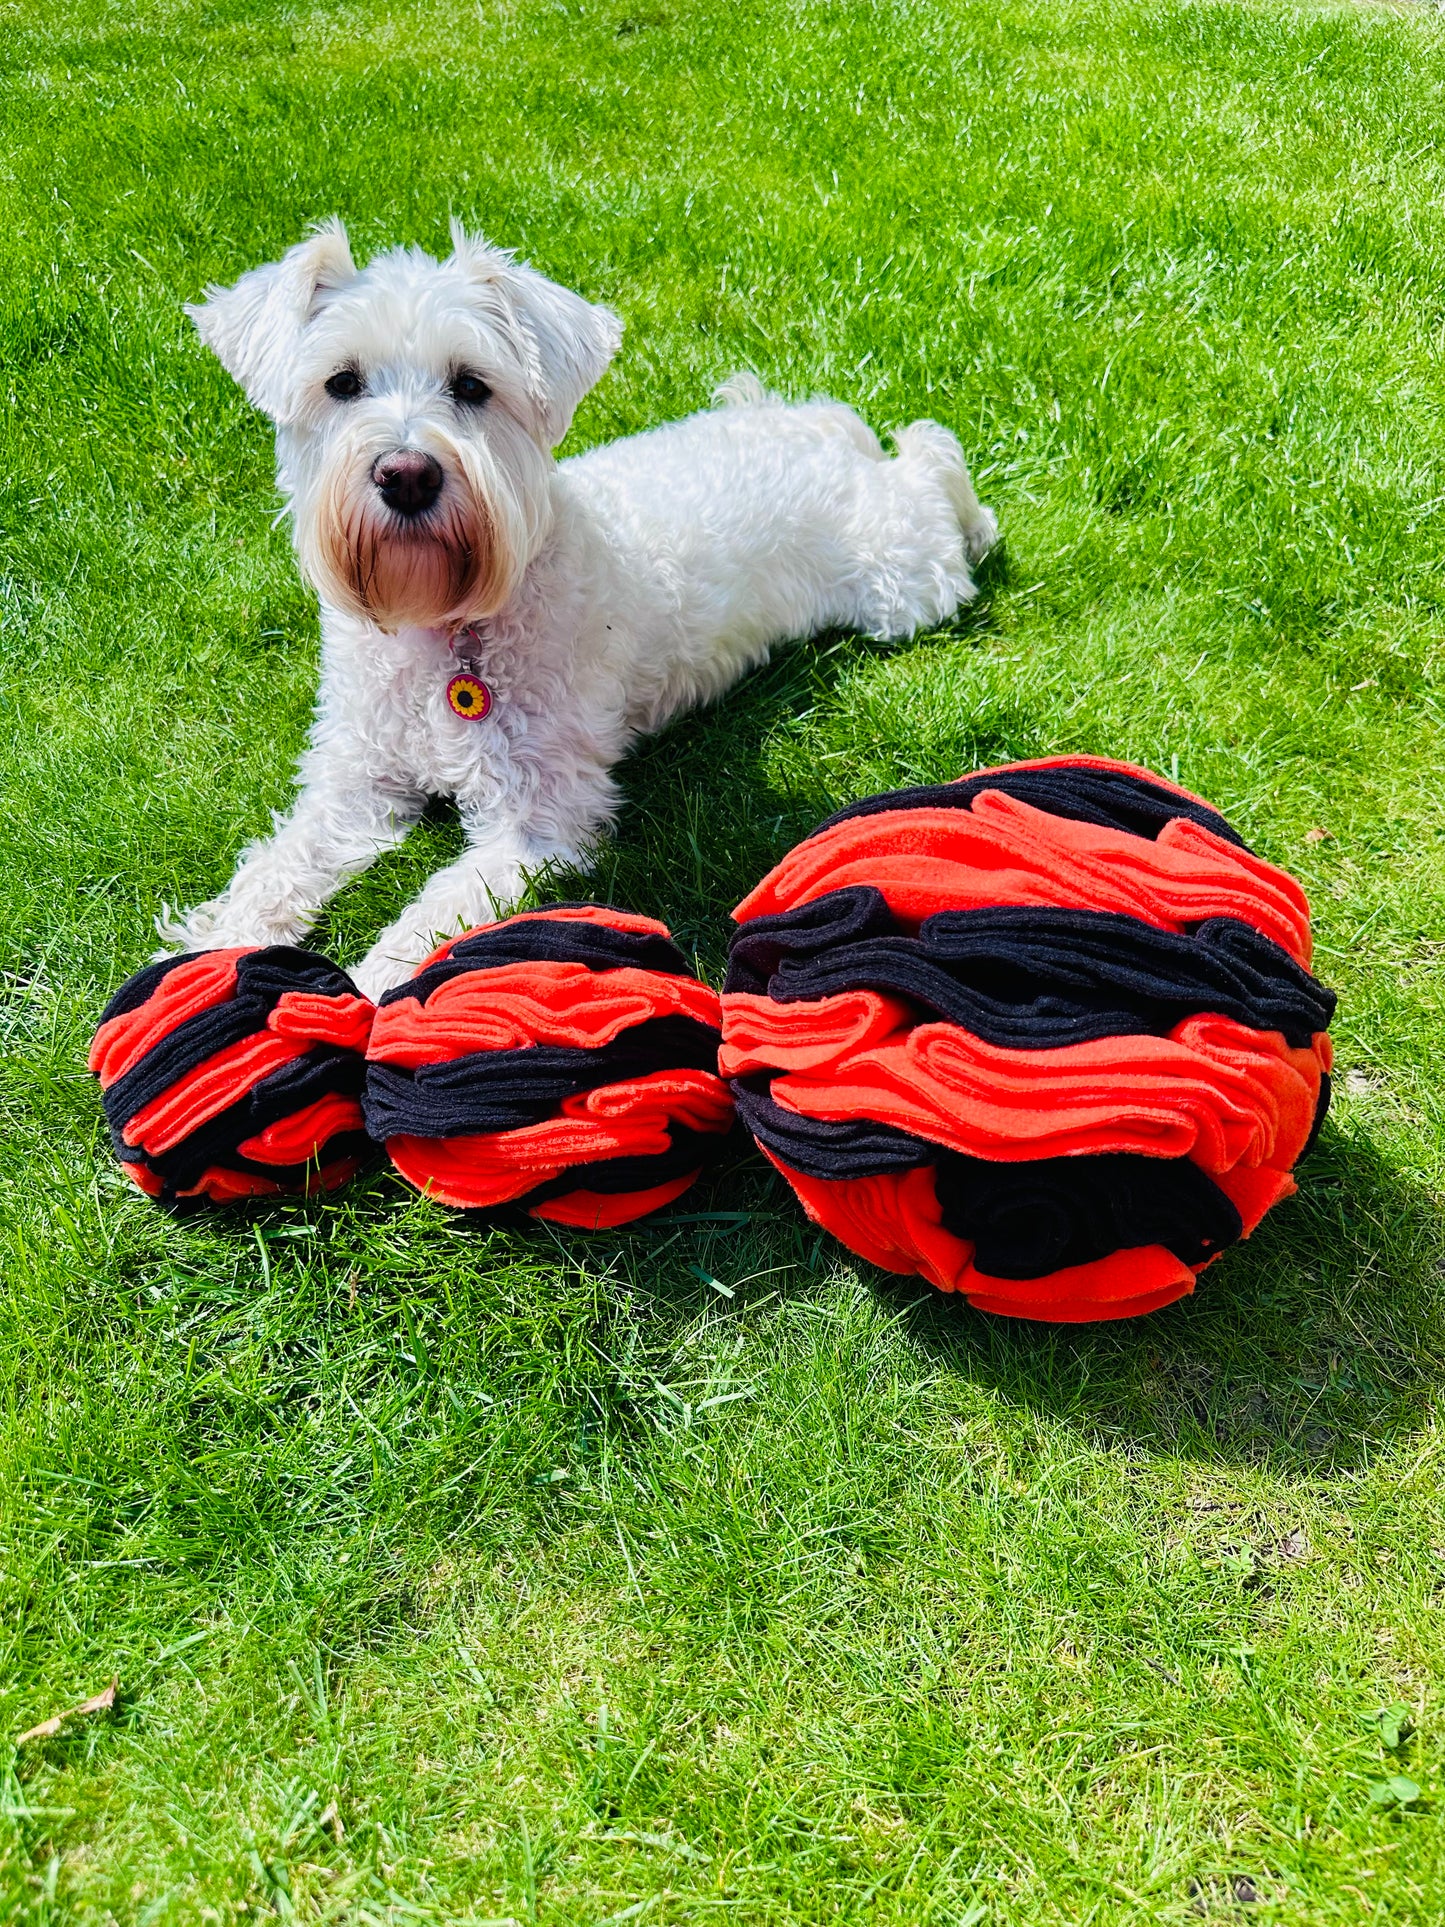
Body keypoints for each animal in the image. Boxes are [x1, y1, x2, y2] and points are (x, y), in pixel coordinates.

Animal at [157, 221, 994, 994]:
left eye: (471, 385)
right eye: (342, 382)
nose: (406, 473)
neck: (448, 620)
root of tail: (823, 435)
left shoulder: (540, 814)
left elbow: (431, 911)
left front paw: (355, 999)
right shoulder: (357, 782)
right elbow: (279, 863)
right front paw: (212, 953)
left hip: (899, 583)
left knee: (929, 458)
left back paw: (972, 513)